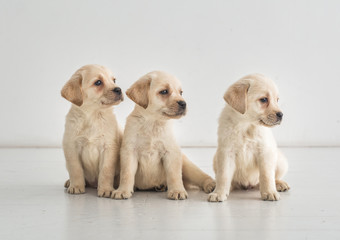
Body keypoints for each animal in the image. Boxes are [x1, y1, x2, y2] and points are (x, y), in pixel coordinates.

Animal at [61, 63, 123, 197]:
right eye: (98, 82)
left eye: (114, 80)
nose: (119, 89)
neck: (93, 115)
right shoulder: (72, 148)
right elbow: (76, 170)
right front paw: (76, 186)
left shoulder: (108, 148)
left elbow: (106, 171)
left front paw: (106, 189)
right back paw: (69, 182)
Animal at [111, 71, 215, 201]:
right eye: (164, 91)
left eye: (181, 92)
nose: (184, 103)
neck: (153, 123)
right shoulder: (129, 152)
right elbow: (126, 174)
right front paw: (123, 190)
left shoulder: (171, 152)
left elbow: (174, 175)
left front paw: (177, 191)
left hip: (187, 166)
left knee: (201, 176)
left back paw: (211, 185)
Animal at [207, 74, 290, 202]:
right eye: (264, 99)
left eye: (277, 100)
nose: (281, 115)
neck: (246, 125)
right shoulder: (226, 152)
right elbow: (223, 175)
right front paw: (219, 193)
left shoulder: (264, 151)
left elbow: (266, 175)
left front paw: (269, 192)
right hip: (216, 159)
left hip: (280, 160)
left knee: (272, 177)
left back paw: (280, 184)